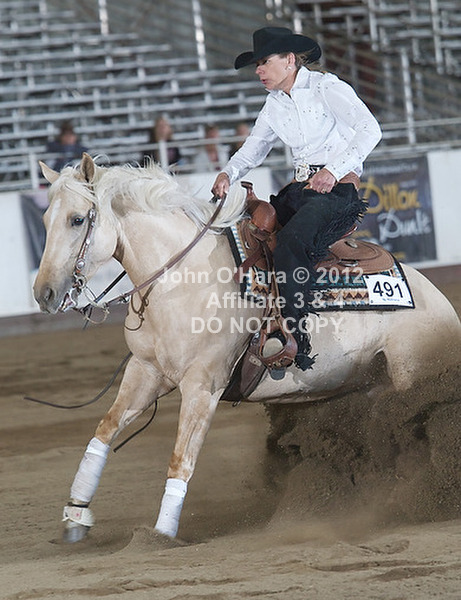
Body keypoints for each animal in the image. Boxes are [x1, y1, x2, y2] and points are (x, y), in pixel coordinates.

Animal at [34, 153, 461, 543]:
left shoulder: (203, 384)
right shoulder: (145, 370)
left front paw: (161, 533)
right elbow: (104, 432)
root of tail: (437, 299)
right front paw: (75, 516)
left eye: (77, 219)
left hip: (410, 373)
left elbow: (181, 460)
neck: (182, 278)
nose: (44, 294)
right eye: (45, 220)